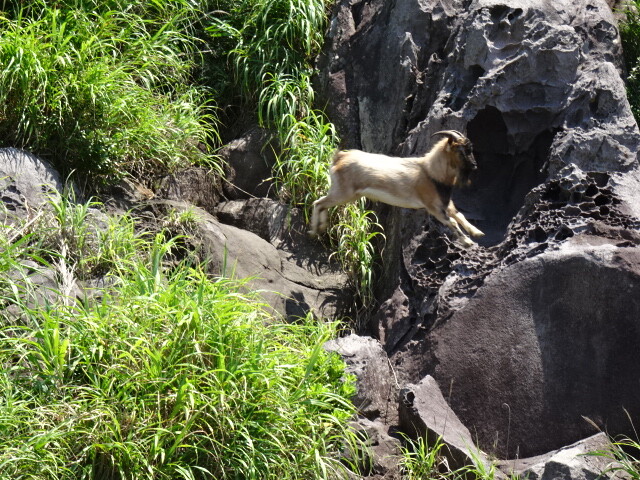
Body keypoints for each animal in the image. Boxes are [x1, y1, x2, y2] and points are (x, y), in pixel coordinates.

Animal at [310, 130, 484, 248]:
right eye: (462, 151)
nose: (475, 165)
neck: (430, 172)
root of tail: (339, 158)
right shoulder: (433, 207)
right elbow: (452, 222)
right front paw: (468, 241)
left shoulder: (445, 203)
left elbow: (459, 215)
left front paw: (477, 233)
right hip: (342, 192)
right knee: (318, 203)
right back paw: (314, 230)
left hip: (349, 195)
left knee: (322, 204)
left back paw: (320, 228)